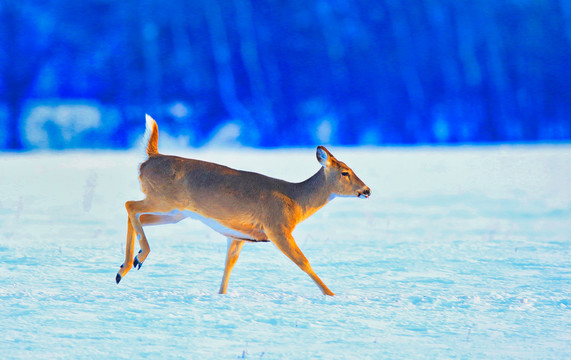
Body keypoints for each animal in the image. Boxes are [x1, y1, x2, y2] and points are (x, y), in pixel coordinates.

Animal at [118, 115, 374, 296]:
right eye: (345, 172)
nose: (367, 190)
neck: (296, 200)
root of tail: (149, 158)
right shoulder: (277, 228)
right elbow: (304, 262)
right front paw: (331, 294)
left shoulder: (238, 235)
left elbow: (228, 265)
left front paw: (221, 295)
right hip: (163, 199)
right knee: (130, 205)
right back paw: (136, 260)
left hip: (175, 213)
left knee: (138, 216)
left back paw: (125, 267)